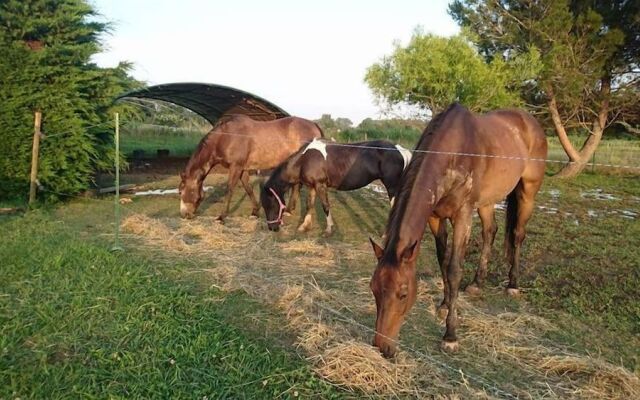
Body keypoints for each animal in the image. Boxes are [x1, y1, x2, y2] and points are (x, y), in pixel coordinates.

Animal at [178, 114, 322, 220]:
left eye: (181, 191)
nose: (185, 215)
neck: (226, 137)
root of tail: (314, 125)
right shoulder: (243, 169)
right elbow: (248, 189)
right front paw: (255, 212)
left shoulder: (235, 167)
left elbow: (229, 189)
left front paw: (222, 216)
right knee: (297, 186)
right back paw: (288, 210)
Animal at [262, 140, 412, 236]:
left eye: (270, 205)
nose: (272, 228)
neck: (305, 160)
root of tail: (399, 149)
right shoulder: (312, 186)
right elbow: (309, 205)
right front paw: (304, 227)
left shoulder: (320, 185)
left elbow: (325, 206)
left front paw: (328, 230)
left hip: (391, 186)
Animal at [370, 102, 544, 356]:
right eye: (373, 289)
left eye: (403, 294)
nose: (382, 347)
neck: (453, 150)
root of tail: (529, 121)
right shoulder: (434, 216)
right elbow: (443, 260)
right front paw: (443, 305)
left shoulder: (462, 215)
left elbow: (453, 269)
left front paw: (450, 334)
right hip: (487, 200)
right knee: (490, 231)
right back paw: (476, 284)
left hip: (527, 191)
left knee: (517, 235)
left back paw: (513, 285)